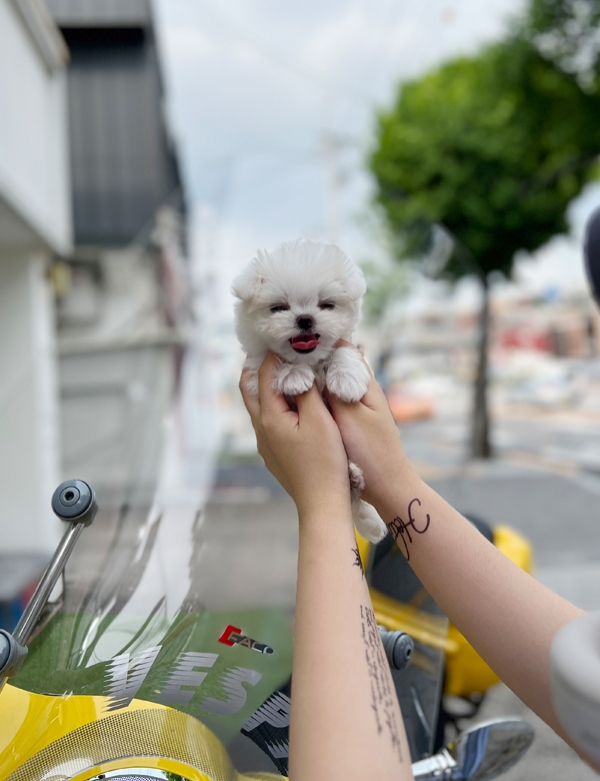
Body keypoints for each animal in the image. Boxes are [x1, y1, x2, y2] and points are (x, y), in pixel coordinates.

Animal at [232, 238, 386, 544]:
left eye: (326, 305)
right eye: (278, 308)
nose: (305, 319)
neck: (310, 359)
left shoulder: (352, 348)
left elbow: (343, 351)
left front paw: (346, 379)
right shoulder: (255, 370)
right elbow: (278, 366)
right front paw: (293, 376)